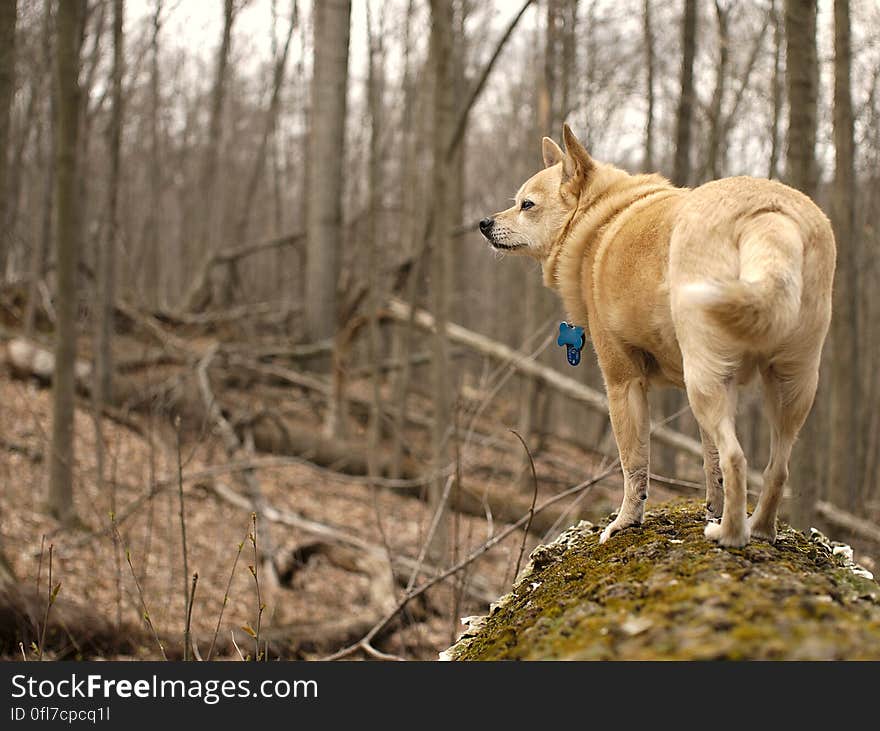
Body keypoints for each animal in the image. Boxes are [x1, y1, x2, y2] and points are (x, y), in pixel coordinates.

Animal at [478, 126, 836, 548]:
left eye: (527, 205)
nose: (483, 223)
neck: (602, 218)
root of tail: (770, 215)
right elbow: (710, 462)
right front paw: (710, 507)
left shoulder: (623, 383)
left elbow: (634, 465)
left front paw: (625, 522)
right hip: (789, 384)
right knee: (775, 468)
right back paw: (761, 528)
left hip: (704, 382)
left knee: (737, 458)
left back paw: (730, 534)